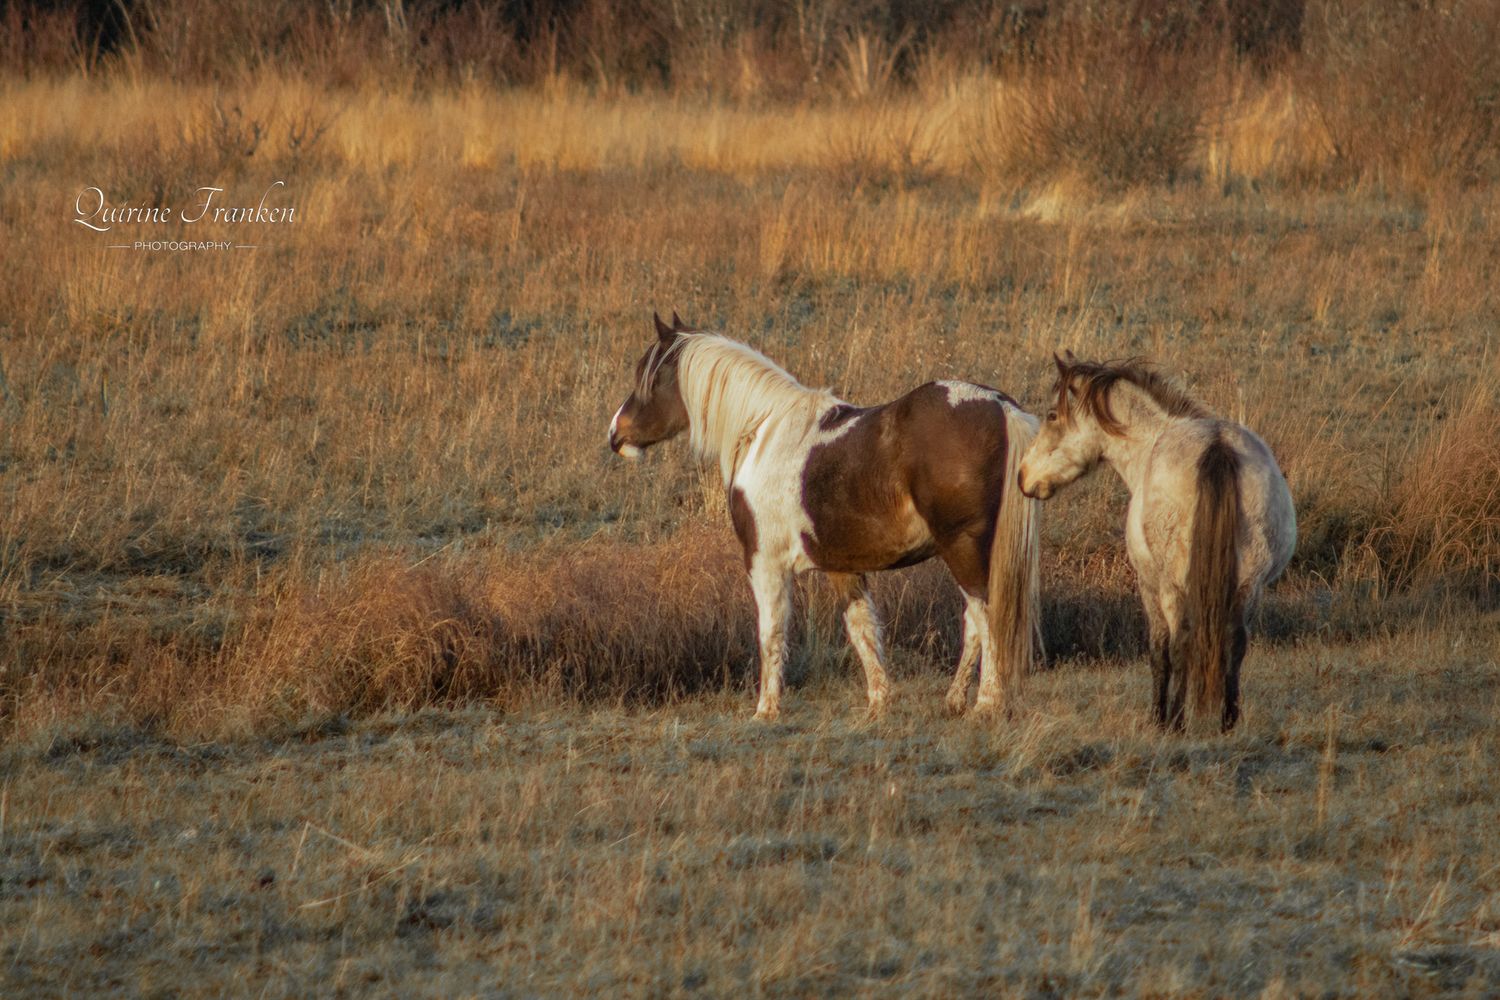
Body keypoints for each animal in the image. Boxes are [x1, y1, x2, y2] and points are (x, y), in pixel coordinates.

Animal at [609, 312, 1043, 721]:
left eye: (649, 376)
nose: (616, 435)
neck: (763, 433)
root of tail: (1001, 408)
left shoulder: (764, 563)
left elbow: (771, 633)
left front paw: (765, 710)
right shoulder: (842, 566)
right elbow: (862, 629)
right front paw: (879, 704)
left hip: (963, 546)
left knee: (986, 615)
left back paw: (986, 703)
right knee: (975, 620)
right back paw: (955, 700)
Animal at [1017, 353, 1296, 732]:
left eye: (1051, 415)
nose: (1023, 476)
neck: (1151, 442)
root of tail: (1218, 445)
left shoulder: (1148, 585)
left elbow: (1158, 651)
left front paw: (1158, 716)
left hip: (1173, 587)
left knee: (1182, 644)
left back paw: (1175, 722)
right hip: (1248, 587)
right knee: (1236, 642)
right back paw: (1227, 721)